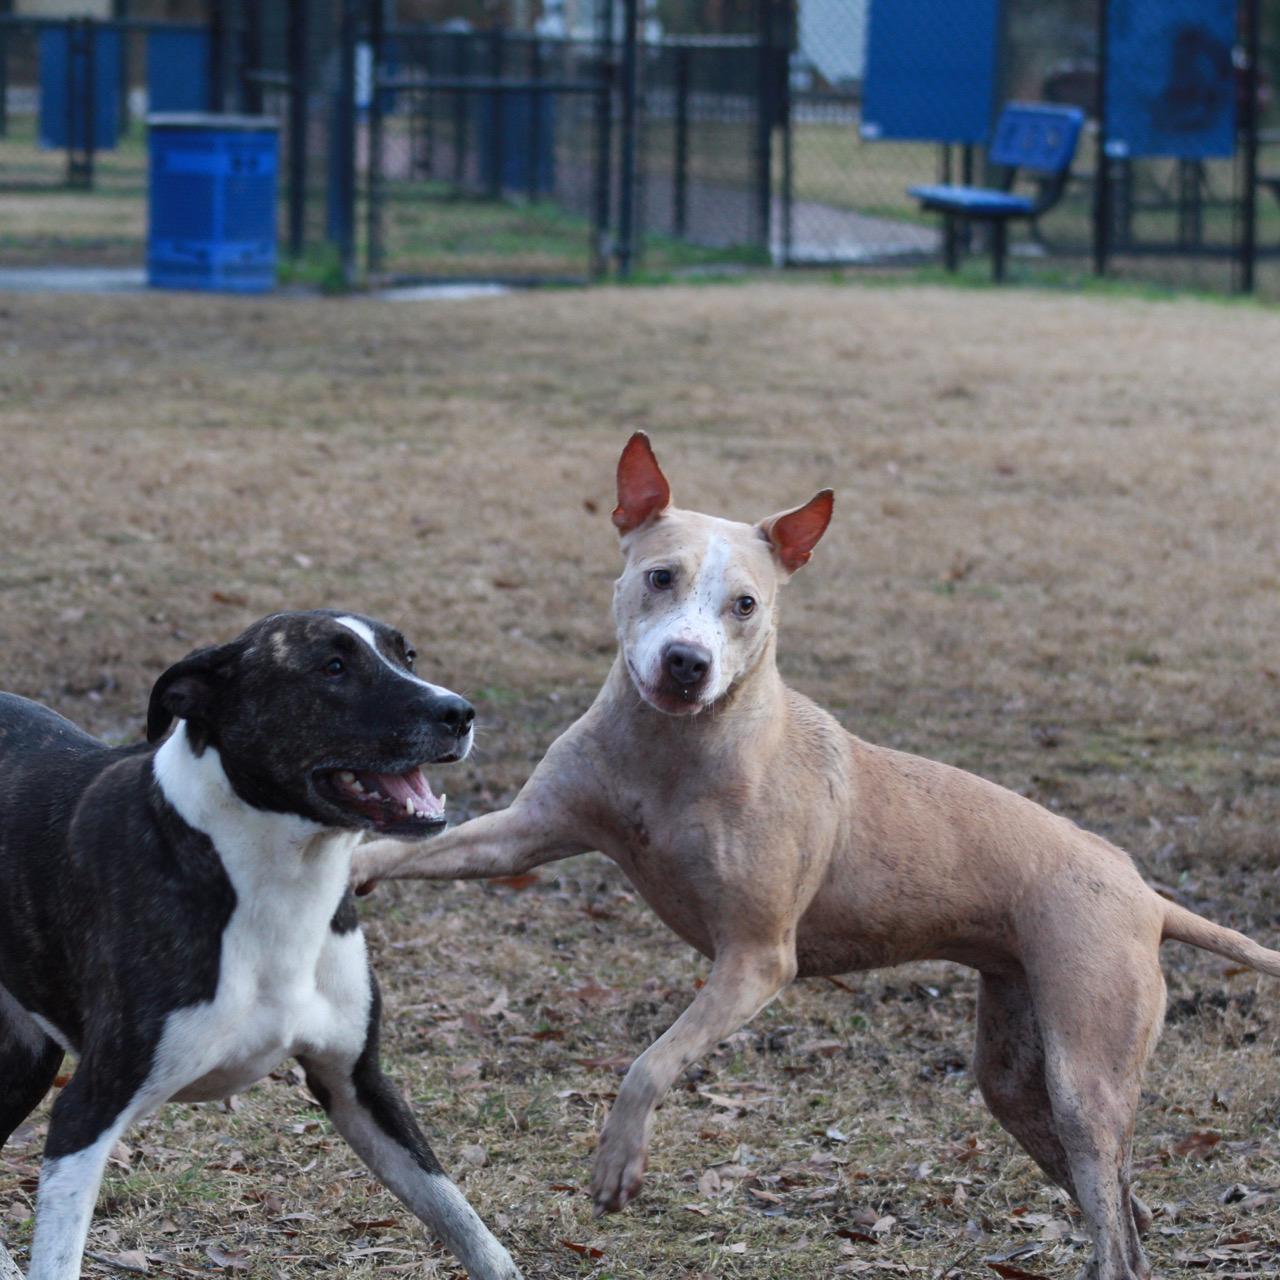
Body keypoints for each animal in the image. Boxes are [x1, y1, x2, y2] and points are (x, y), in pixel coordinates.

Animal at [1, 609, 519, 1280]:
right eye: (333, 666)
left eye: (407, 656)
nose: (459, 712)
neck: (279, 880)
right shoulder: (87, 1116)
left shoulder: (358, 1085)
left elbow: (465, 1222)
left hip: (25, 1056)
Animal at [358, 432, 1280, 1280]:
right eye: (660, 577)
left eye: (745, 603)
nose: (687, 664)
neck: (674, 748)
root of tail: (1145, 894)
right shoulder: (525, 831)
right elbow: (412, 849)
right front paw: (357, 870)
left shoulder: (756, 960)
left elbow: (651, 1064)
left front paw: (619, 1163)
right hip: (1018, 1078)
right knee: (1122, 1210)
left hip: (1085, 1074)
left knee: (1115, 1221)